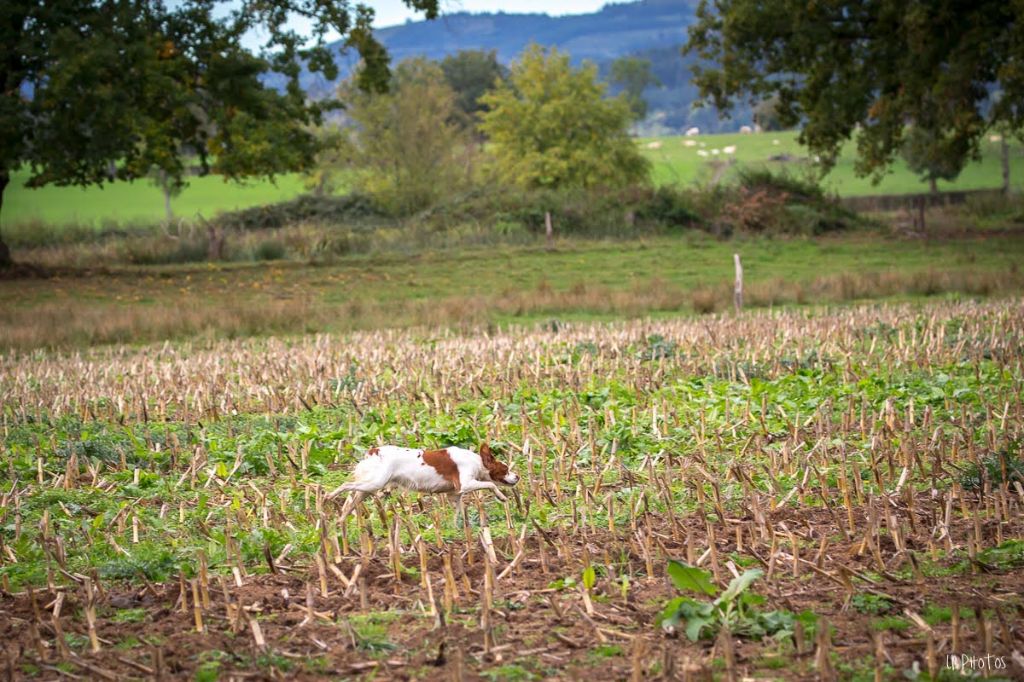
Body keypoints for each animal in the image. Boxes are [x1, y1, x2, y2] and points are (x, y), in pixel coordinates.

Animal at [327, 440, 520, 520]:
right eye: (505, 469)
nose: (518, 476)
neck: (477, 461)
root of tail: (374, 451)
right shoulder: (466, 484)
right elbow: (490, 484)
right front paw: (502, 497)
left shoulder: (453, 495)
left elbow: (459, 511)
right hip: (375, 483)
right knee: (346, 485)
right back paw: (329, 496)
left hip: (369, 487)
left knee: (351, 500)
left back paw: (341, 521)